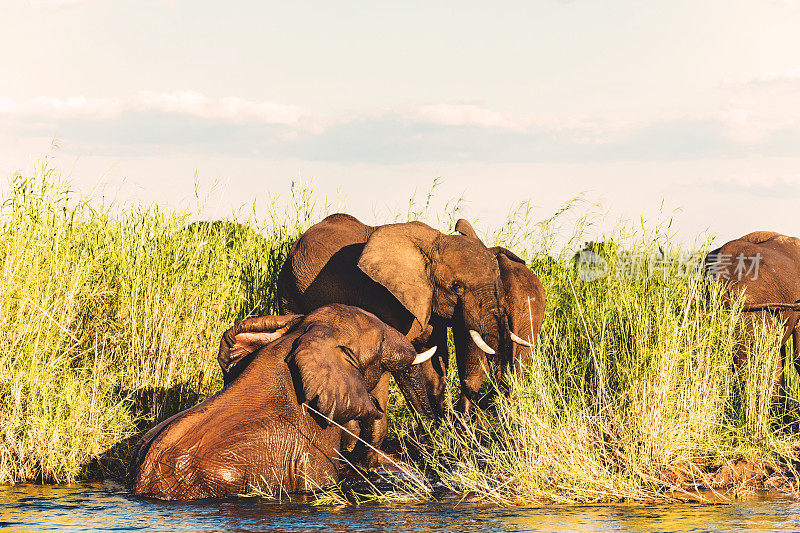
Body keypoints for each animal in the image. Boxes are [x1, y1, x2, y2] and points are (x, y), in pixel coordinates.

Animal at [278, 212, 528, 466]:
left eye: (499, 282)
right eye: (456, 286)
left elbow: (434, 363)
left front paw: (438, 439)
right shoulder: (385, 298)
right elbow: (406, 362)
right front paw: (433, 440)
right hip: (289, 289)